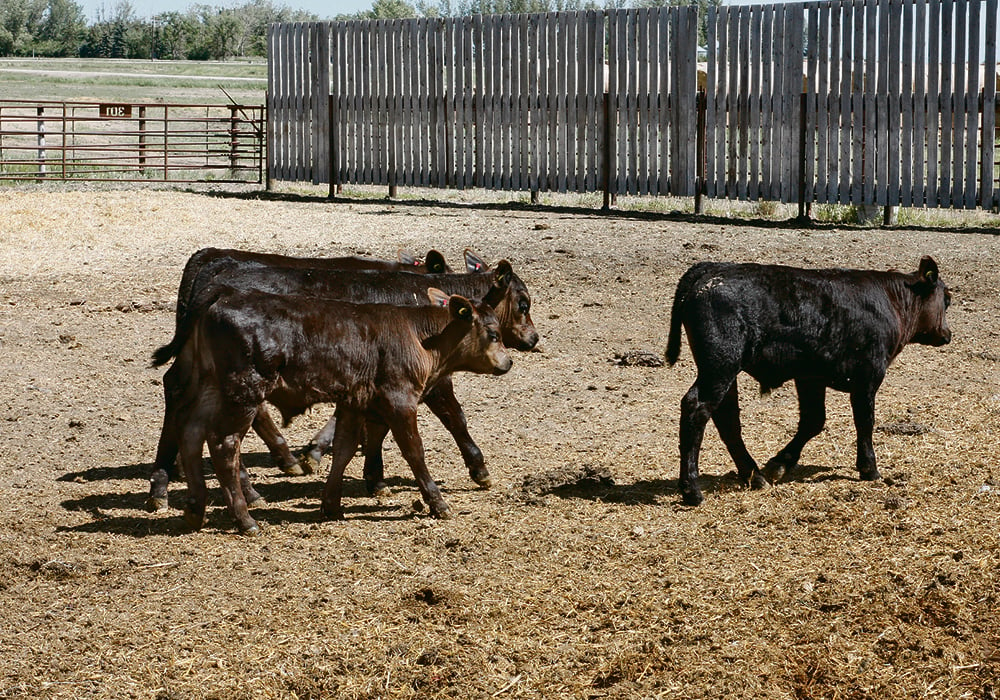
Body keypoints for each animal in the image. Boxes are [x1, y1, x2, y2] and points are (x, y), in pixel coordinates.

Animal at [170, 288, 508, 532]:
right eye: (493, 334)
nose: (508, 362)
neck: (418, 337)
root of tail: (217, 303)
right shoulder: (400, 399)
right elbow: (414, 451)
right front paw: (438, 502)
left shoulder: (354, 403)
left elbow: (344, 449)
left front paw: (331, 504)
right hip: (244, 393)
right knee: (224, 446)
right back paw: (245, 519)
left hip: (212, 388)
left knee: (191, 434)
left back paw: (195, 508)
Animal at [668, 254, 948, 506]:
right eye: (947, 299)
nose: (947, 333)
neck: (891, 300)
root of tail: (711, 269)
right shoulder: (867, 377)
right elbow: (865, 423)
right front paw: (869, 468)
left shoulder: (810, 378)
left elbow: (813, 421)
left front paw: (780, 463)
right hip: (719, 367)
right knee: (696, 409)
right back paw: (691, 490)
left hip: (725, 373)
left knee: (727, 419)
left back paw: (754, 476)